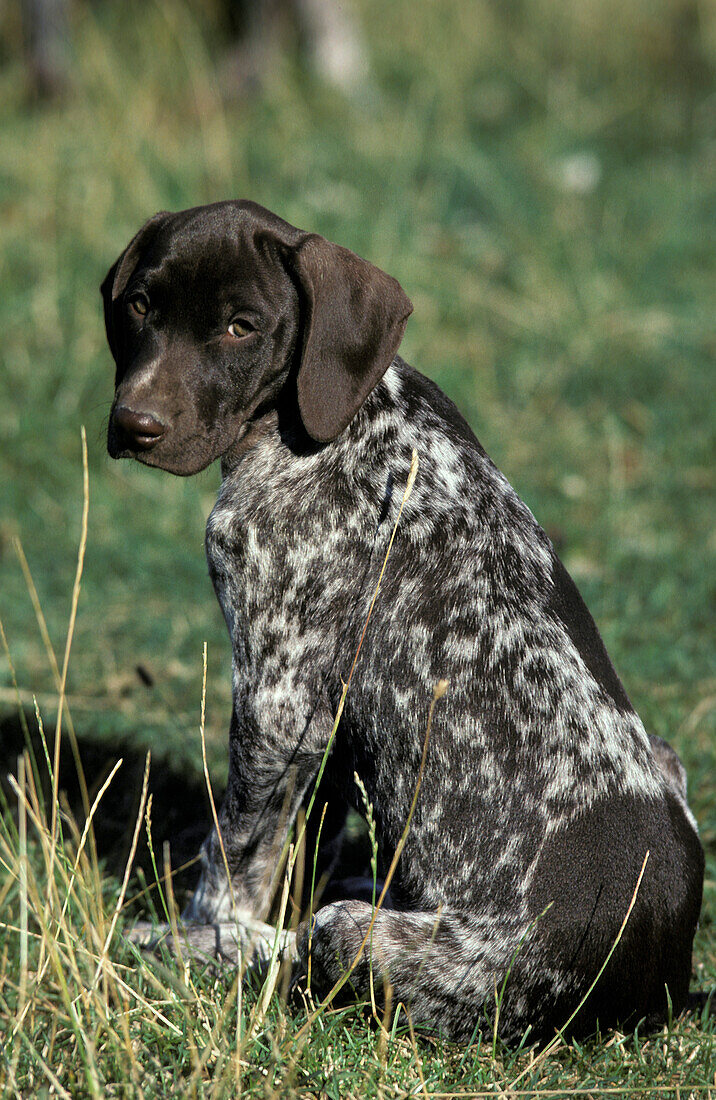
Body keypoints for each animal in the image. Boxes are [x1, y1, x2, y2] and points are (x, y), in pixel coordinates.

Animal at [103, 202, 703, 1042]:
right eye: (139, 306)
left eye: (240, 327)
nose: (136, 423)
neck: (327, 416)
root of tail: (661, 982)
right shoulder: (317, 713)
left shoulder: (275, 700)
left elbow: (235, 864)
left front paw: (196, 936)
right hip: (667, 757)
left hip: (389, 946)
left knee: (307, 939)